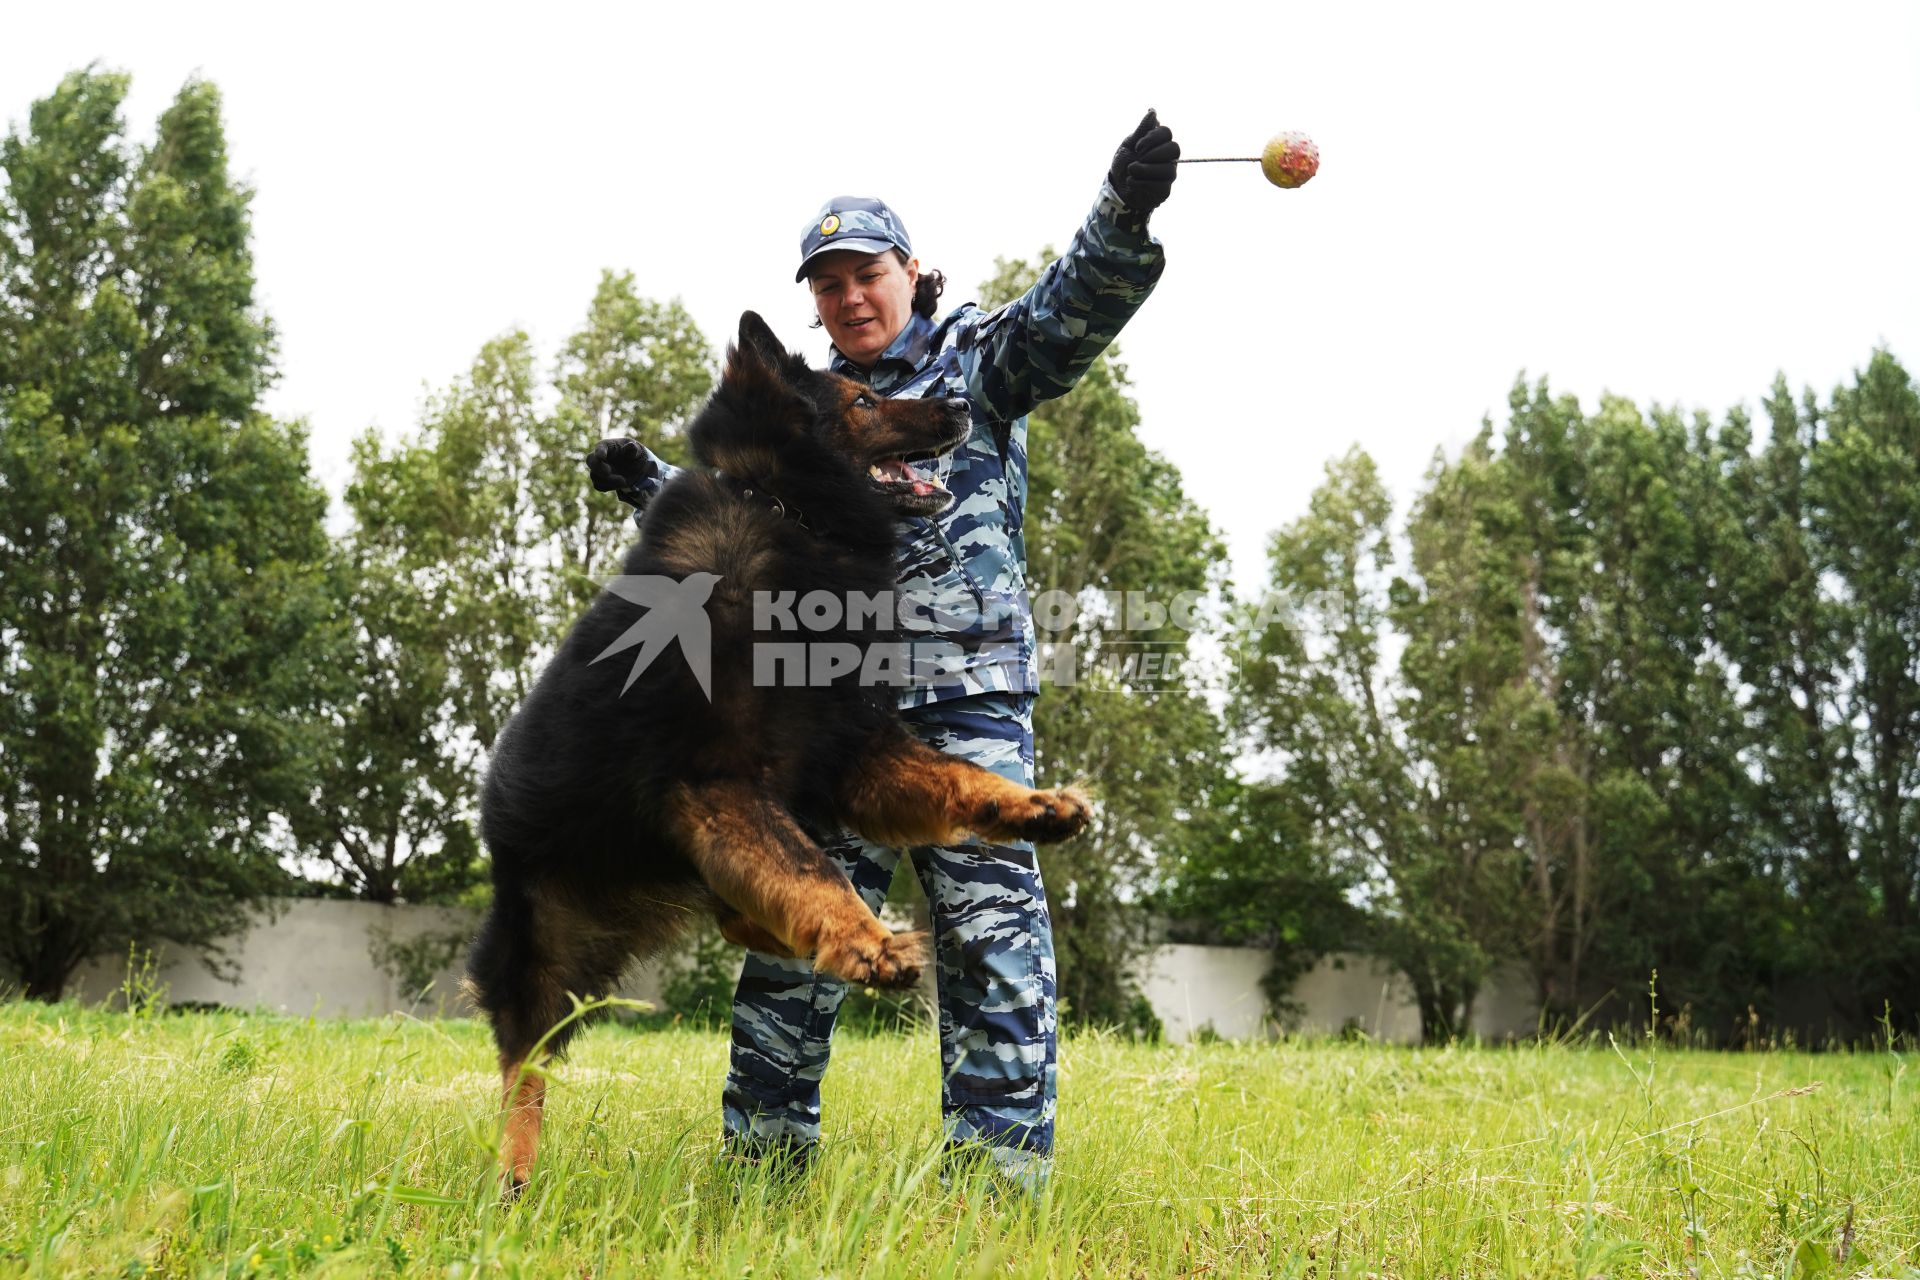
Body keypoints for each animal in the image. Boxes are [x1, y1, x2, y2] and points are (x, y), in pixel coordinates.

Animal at [462, 310, 1090, 1189]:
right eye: (865, 401)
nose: (965, 406)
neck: (789, 512)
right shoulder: (719, 783)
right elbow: (812, 869)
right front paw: (867, 942)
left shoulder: (849, 750)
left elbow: (956, 776)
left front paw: (1035, 807)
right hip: (545, 961)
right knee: (525, 1072)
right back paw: (515, 1175)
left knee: (735, 919)